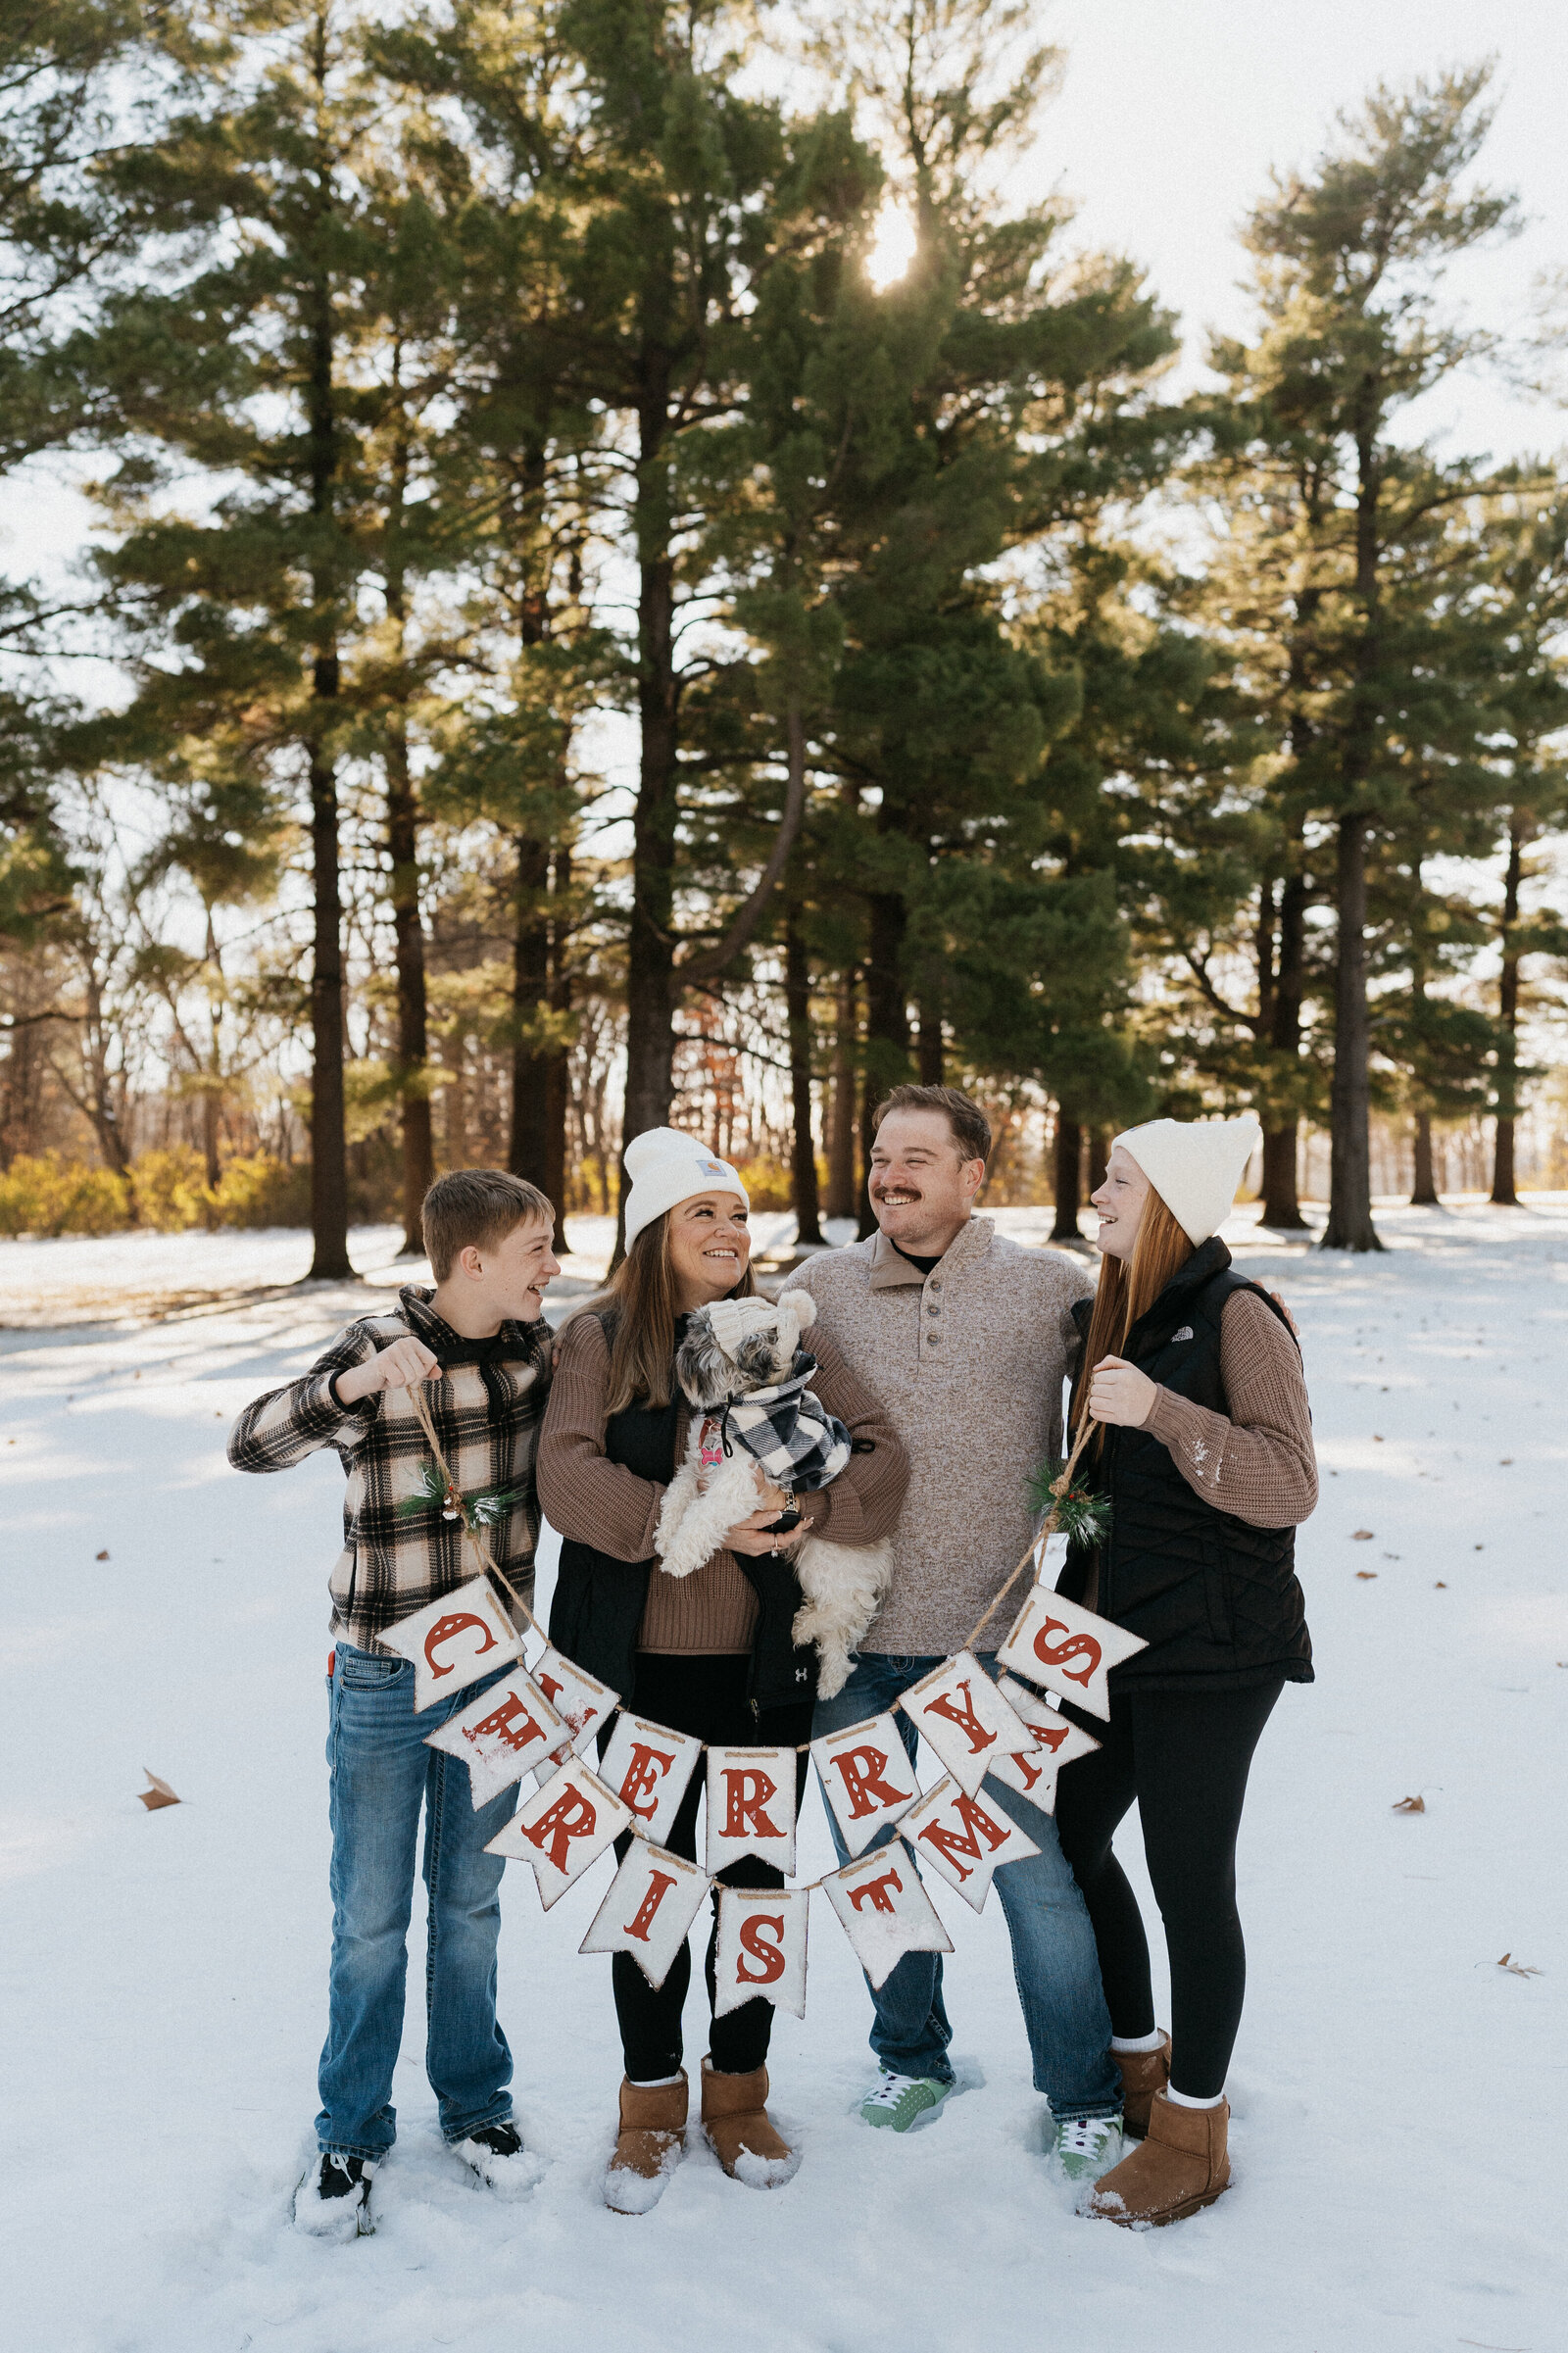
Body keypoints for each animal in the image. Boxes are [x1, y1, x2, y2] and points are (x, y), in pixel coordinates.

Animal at [650, 1299, 890, 1703]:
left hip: (822, 1557)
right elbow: (676, 1497)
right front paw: (666, 1538)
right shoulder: (695, 1468)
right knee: (839, 1632)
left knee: (844, 1607)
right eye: (693, 1333)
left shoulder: (738, 1485)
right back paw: (830, 1680)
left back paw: (801, 1629)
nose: (681, 1352)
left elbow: (700, 1517)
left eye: (704, 1342)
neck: (733, 1411)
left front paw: (680, 1557)